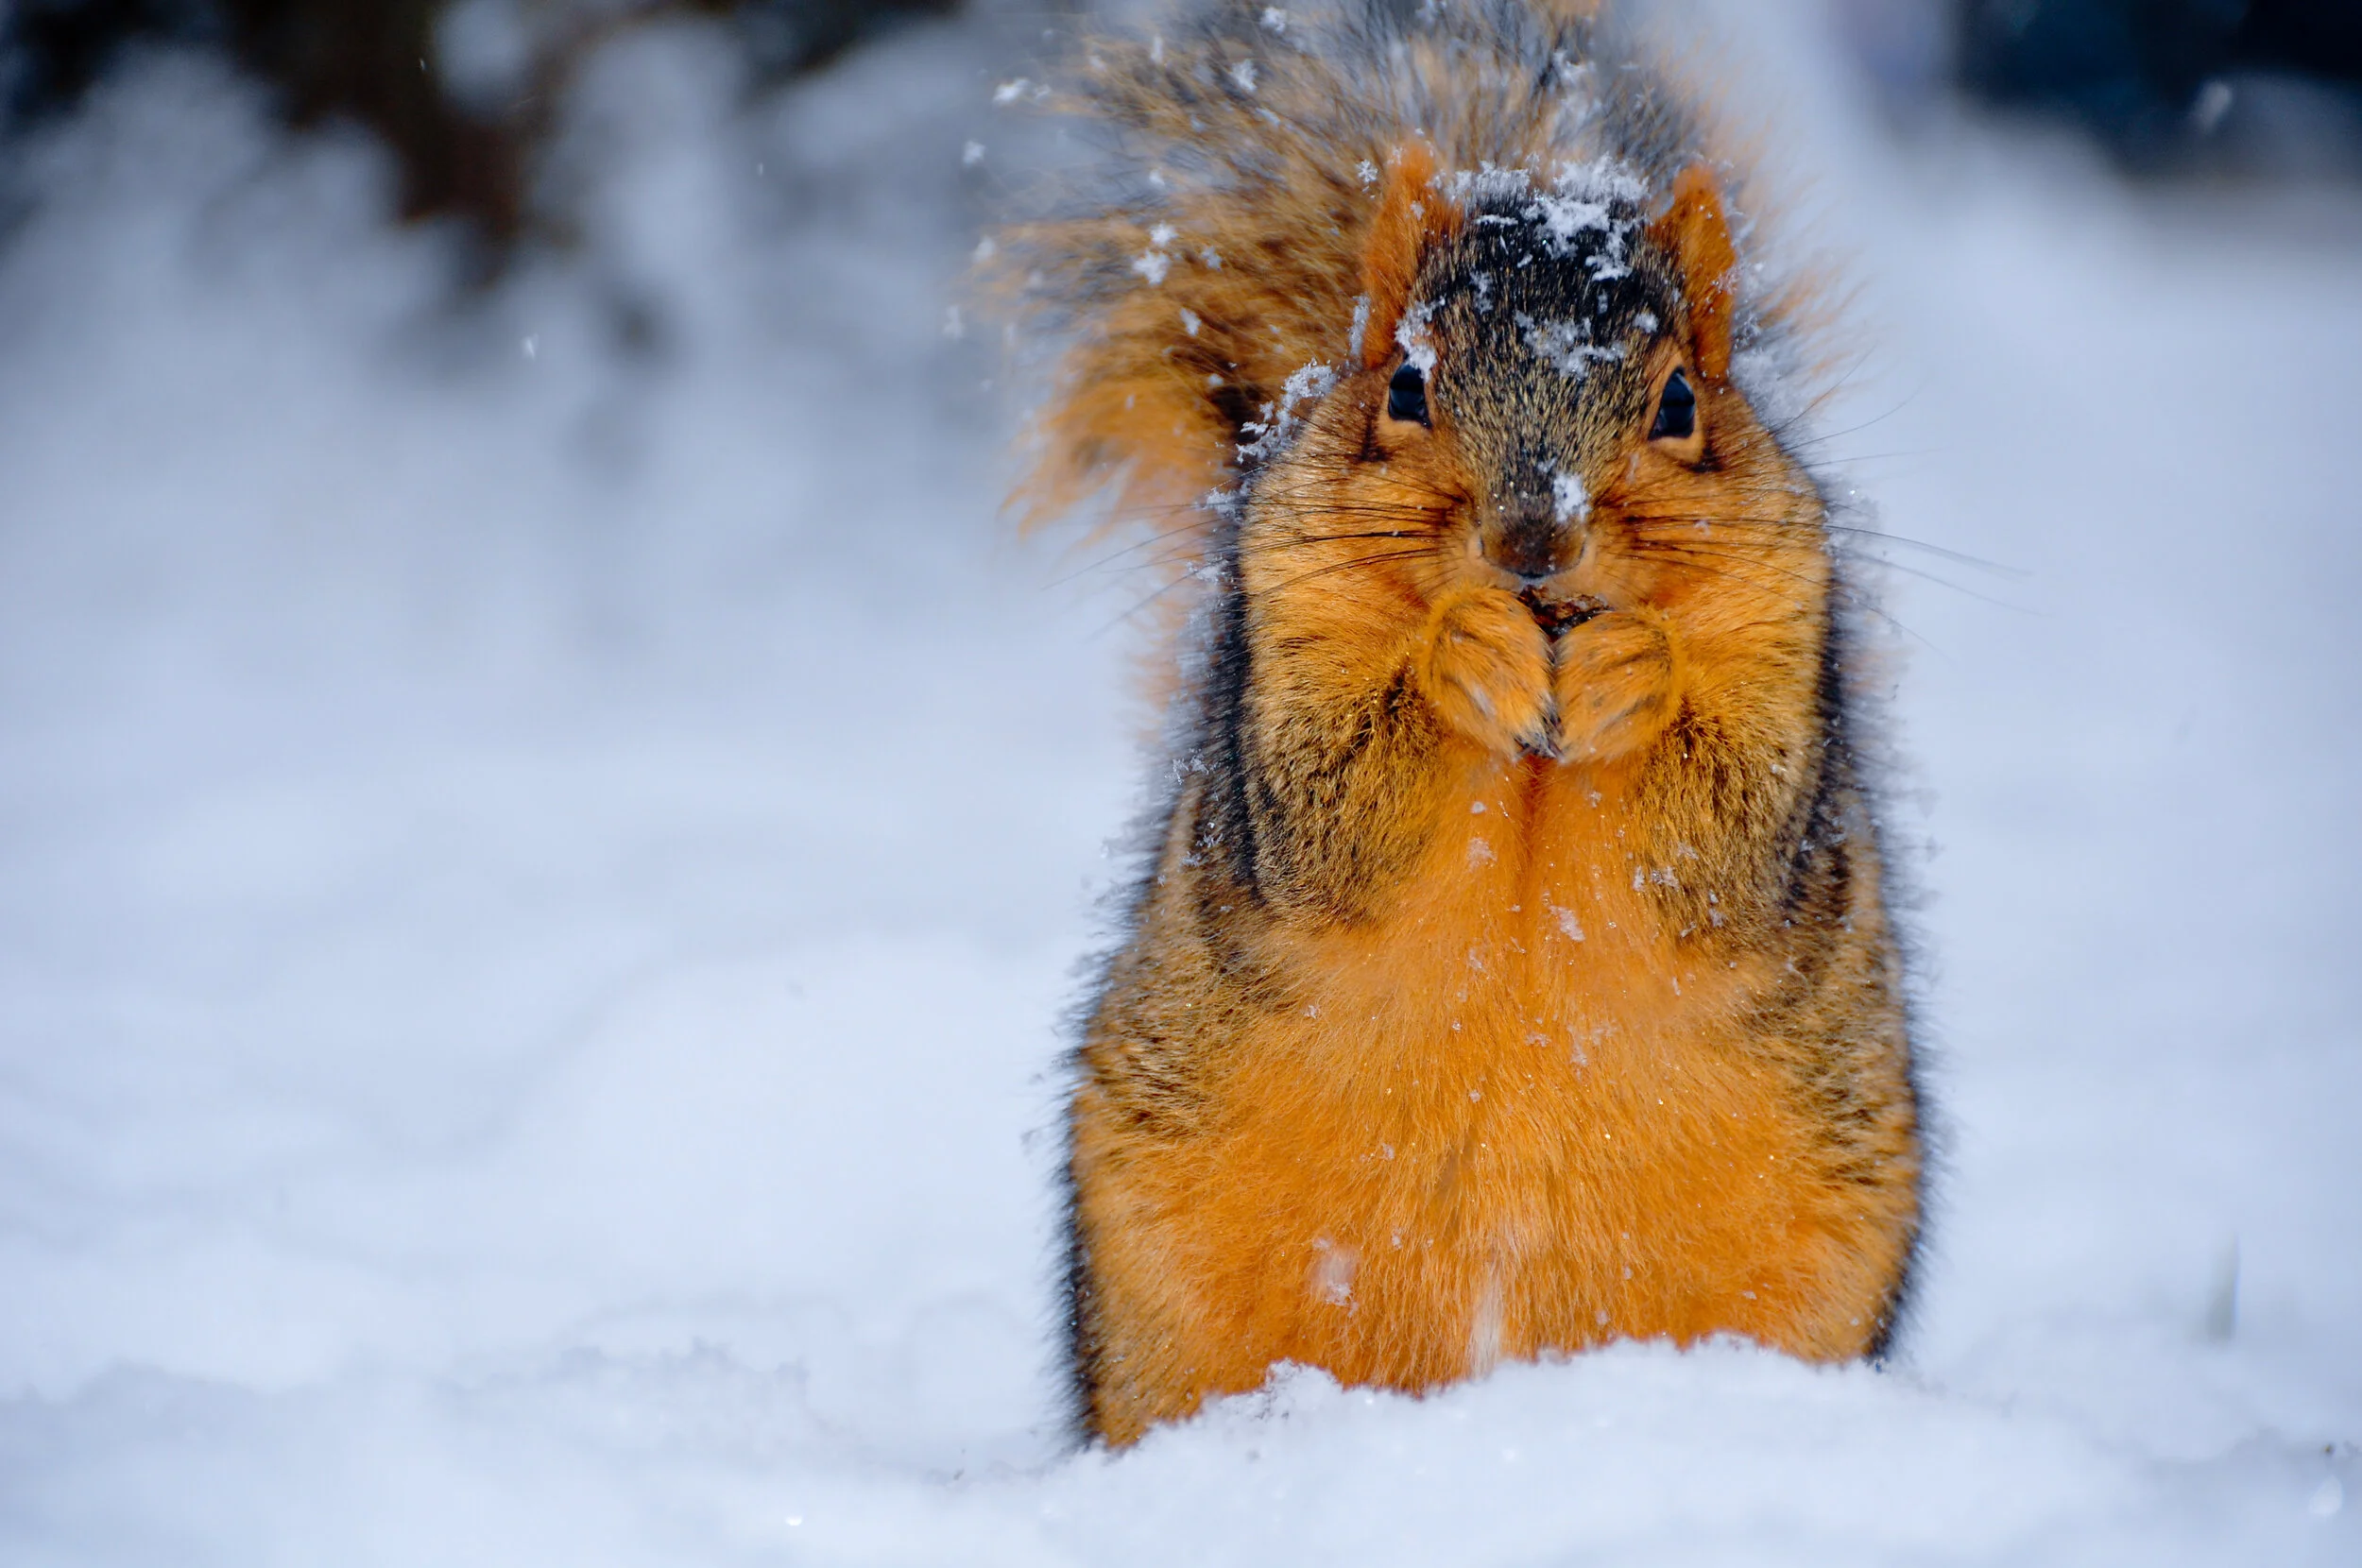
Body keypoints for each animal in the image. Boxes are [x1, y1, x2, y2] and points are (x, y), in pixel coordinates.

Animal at [993, 0, 1925, 1448]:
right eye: (1406, 389)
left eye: (1680, 402)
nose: (1532, 547)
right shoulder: (1282, 648)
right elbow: (1331, 807)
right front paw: (1462, 653)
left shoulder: (1791, 654)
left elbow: (1725, 837)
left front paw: (1632, 670)